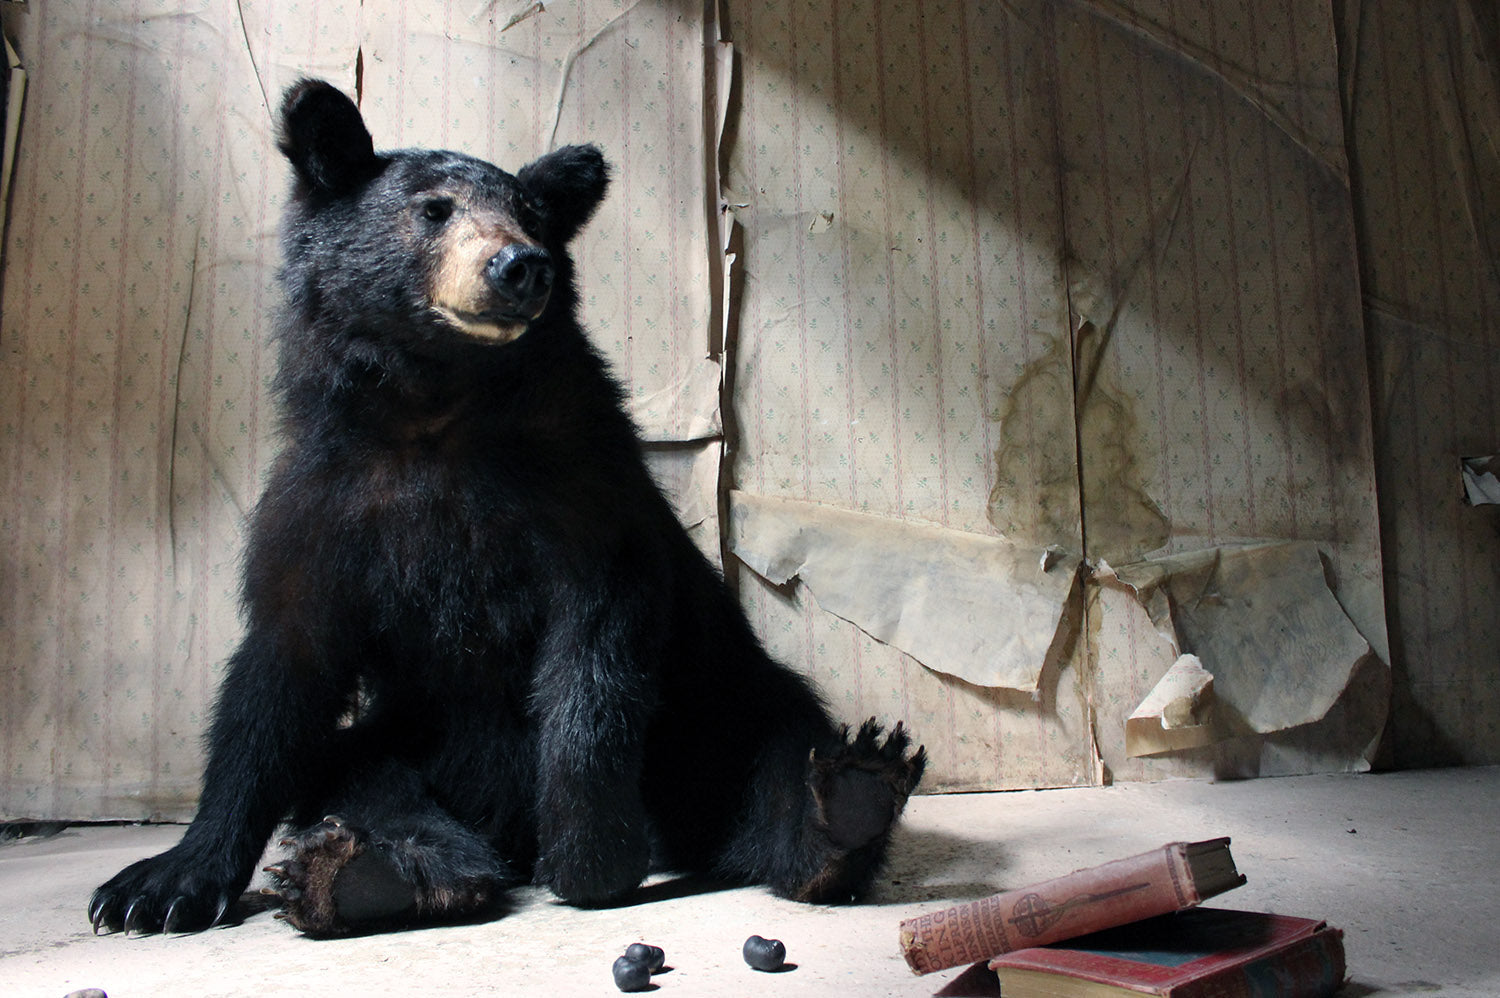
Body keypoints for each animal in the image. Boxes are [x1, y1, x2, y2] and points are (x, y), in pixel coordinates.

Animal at [87, 79, 926, 938]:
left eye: (530, 212)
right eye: (434, 209)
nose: (521, 265)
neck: (437, 408)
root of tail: (504, 835)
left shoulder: (580, 487)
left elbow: (596, 654)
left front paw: (593, 858)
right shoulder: (323, 506)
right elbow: (277, 677)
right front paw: (162, 882)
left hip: (715, 704)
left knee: (778, 756)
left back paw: (845, 804)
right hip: (410, 738)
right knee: (359, 777)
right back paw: (372, 872)